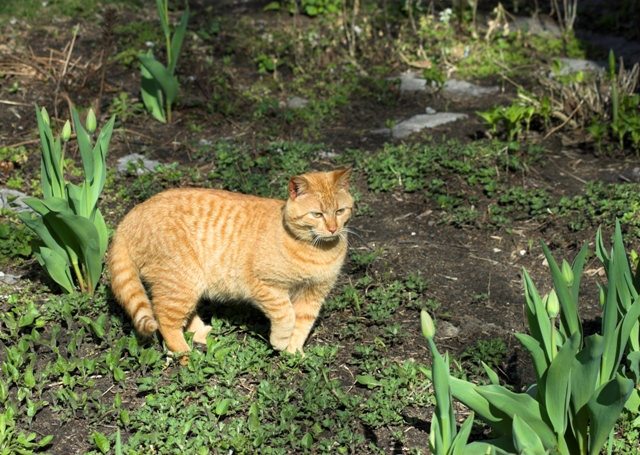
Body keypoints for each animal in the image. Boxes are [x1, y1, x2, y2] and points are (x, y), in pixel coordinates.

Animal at [107, 169, 352, 358]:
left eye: (340, 211)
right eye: (317, 214)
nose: (333, 228)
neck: (318, 251)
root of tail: (131, 214)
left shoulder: (314, 295)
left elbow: (302, 325)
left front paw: (293, 352)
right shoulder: (267, 287)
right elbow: (286, 316)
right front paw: (281, 341)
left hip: (189, 284)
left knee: (182, 315)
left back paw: (202, 335)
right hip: (183, 281)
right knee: (165, 319)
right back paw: (185, 354)